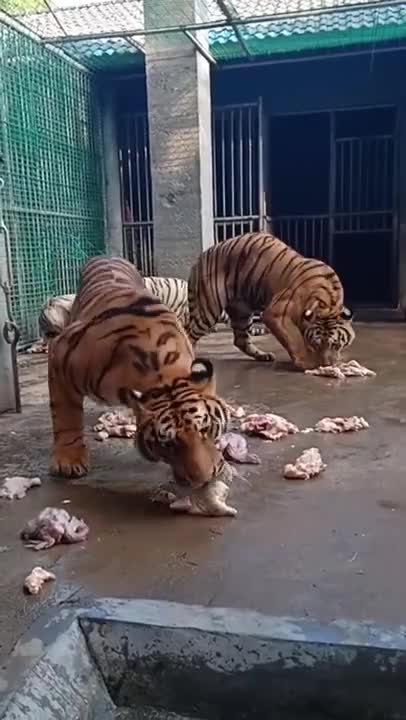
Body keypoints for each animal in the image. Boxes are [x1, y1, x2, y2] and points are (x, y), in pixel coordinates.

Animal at [48, 256, 230, 487]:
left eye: (205, 429)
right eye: (168, 444)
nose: (203, 480)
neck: (162, 373)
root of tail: (107, 256)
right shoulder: (60, 354)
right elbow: (66, 417)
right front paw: (69, 460)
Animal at [187, 232, 355, 370]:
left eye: (335, 344)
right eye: (316, 344)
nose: (327, 365)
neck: (327, 303)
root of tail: (199, 259)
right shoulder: (276, 314)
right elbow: (295, 340)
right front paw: (307, 362)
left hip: (242, 313)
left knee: (240, 340)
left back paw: (263, 356)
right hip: (208, 310)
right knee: (189, 333)